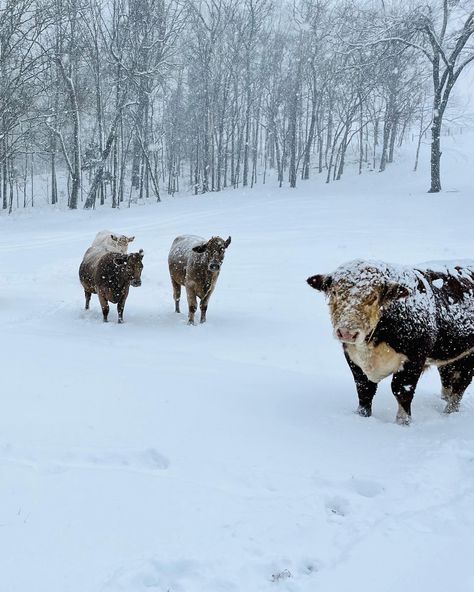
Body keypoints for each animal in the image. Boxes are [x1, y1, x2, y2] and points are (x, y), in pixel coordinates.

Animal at [306, 262, 474, 424]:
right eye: (334, 292)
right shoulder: (353, 359)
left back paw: (449, 413)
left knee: (460, 385)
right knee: (447, 380)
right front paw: (362, 417)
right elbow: (364, 390)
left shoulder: (414, 359)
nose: (347, 332)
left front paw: (402, 423)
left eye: (373, 297)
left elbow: (401, 391)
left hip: (467, 358)